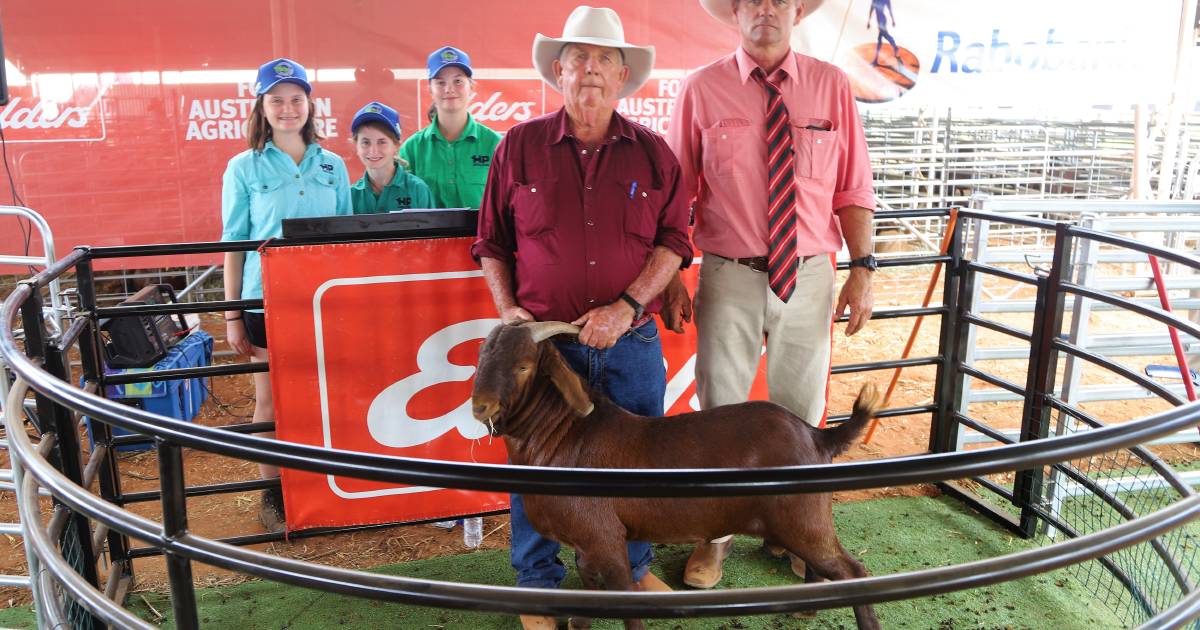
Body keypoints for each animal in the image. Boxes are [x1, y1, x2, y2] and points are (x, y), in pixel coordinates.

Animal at [472, 321, 888, 624]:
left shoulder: (605, 536)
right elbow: (587, 592)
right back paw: (809, 606)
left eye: (524, 365)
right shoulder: (584, 543)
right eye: (481, 359)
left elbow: (622, 595)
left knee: (854, 570)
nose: (480, 406)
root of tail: (818, 435)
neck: (565, 435)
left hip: (803, 518)